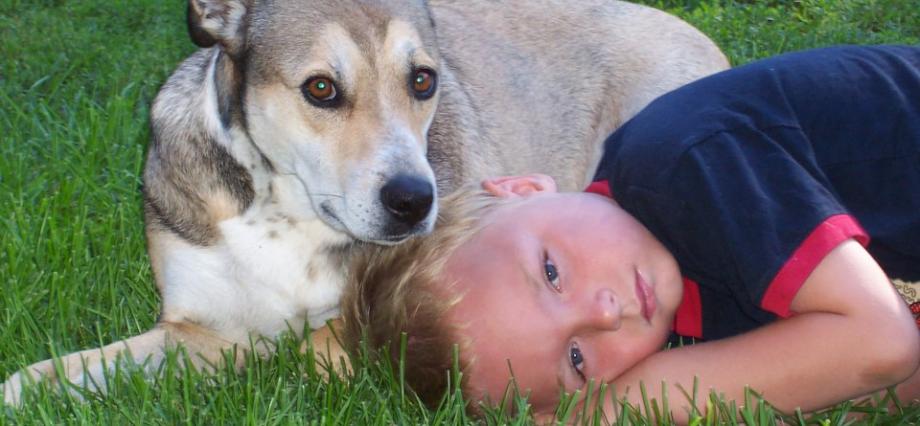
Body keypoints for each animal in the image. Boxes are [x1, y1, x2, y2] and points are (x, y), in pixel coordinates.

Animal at [2, 0, 727, 405]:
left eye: (424, 80)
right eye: (321, 88)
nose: (414, 200)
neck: (285, 210)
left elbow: (311, 349)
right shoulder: (194, 329)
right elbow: (54, 374)